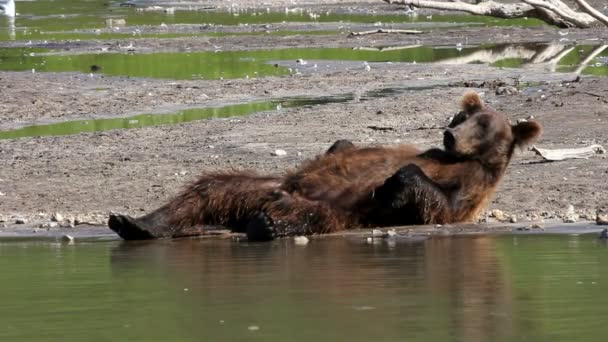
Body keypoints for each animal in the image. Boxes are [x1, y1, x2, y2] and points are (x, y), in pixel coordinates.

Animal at [108, 91, 540, 240]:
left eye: (482, 125)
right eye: (461, 115)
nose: (449, 135)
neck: (462, 159)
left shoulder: (470, 187)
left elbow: (438, 206)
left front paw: (391, 184)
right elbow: (342, 146)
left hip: (332, 207)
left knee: (312, 215)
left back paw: (264, 225)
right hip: (260, 184)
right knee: (209, 188)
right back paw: (135, 222)